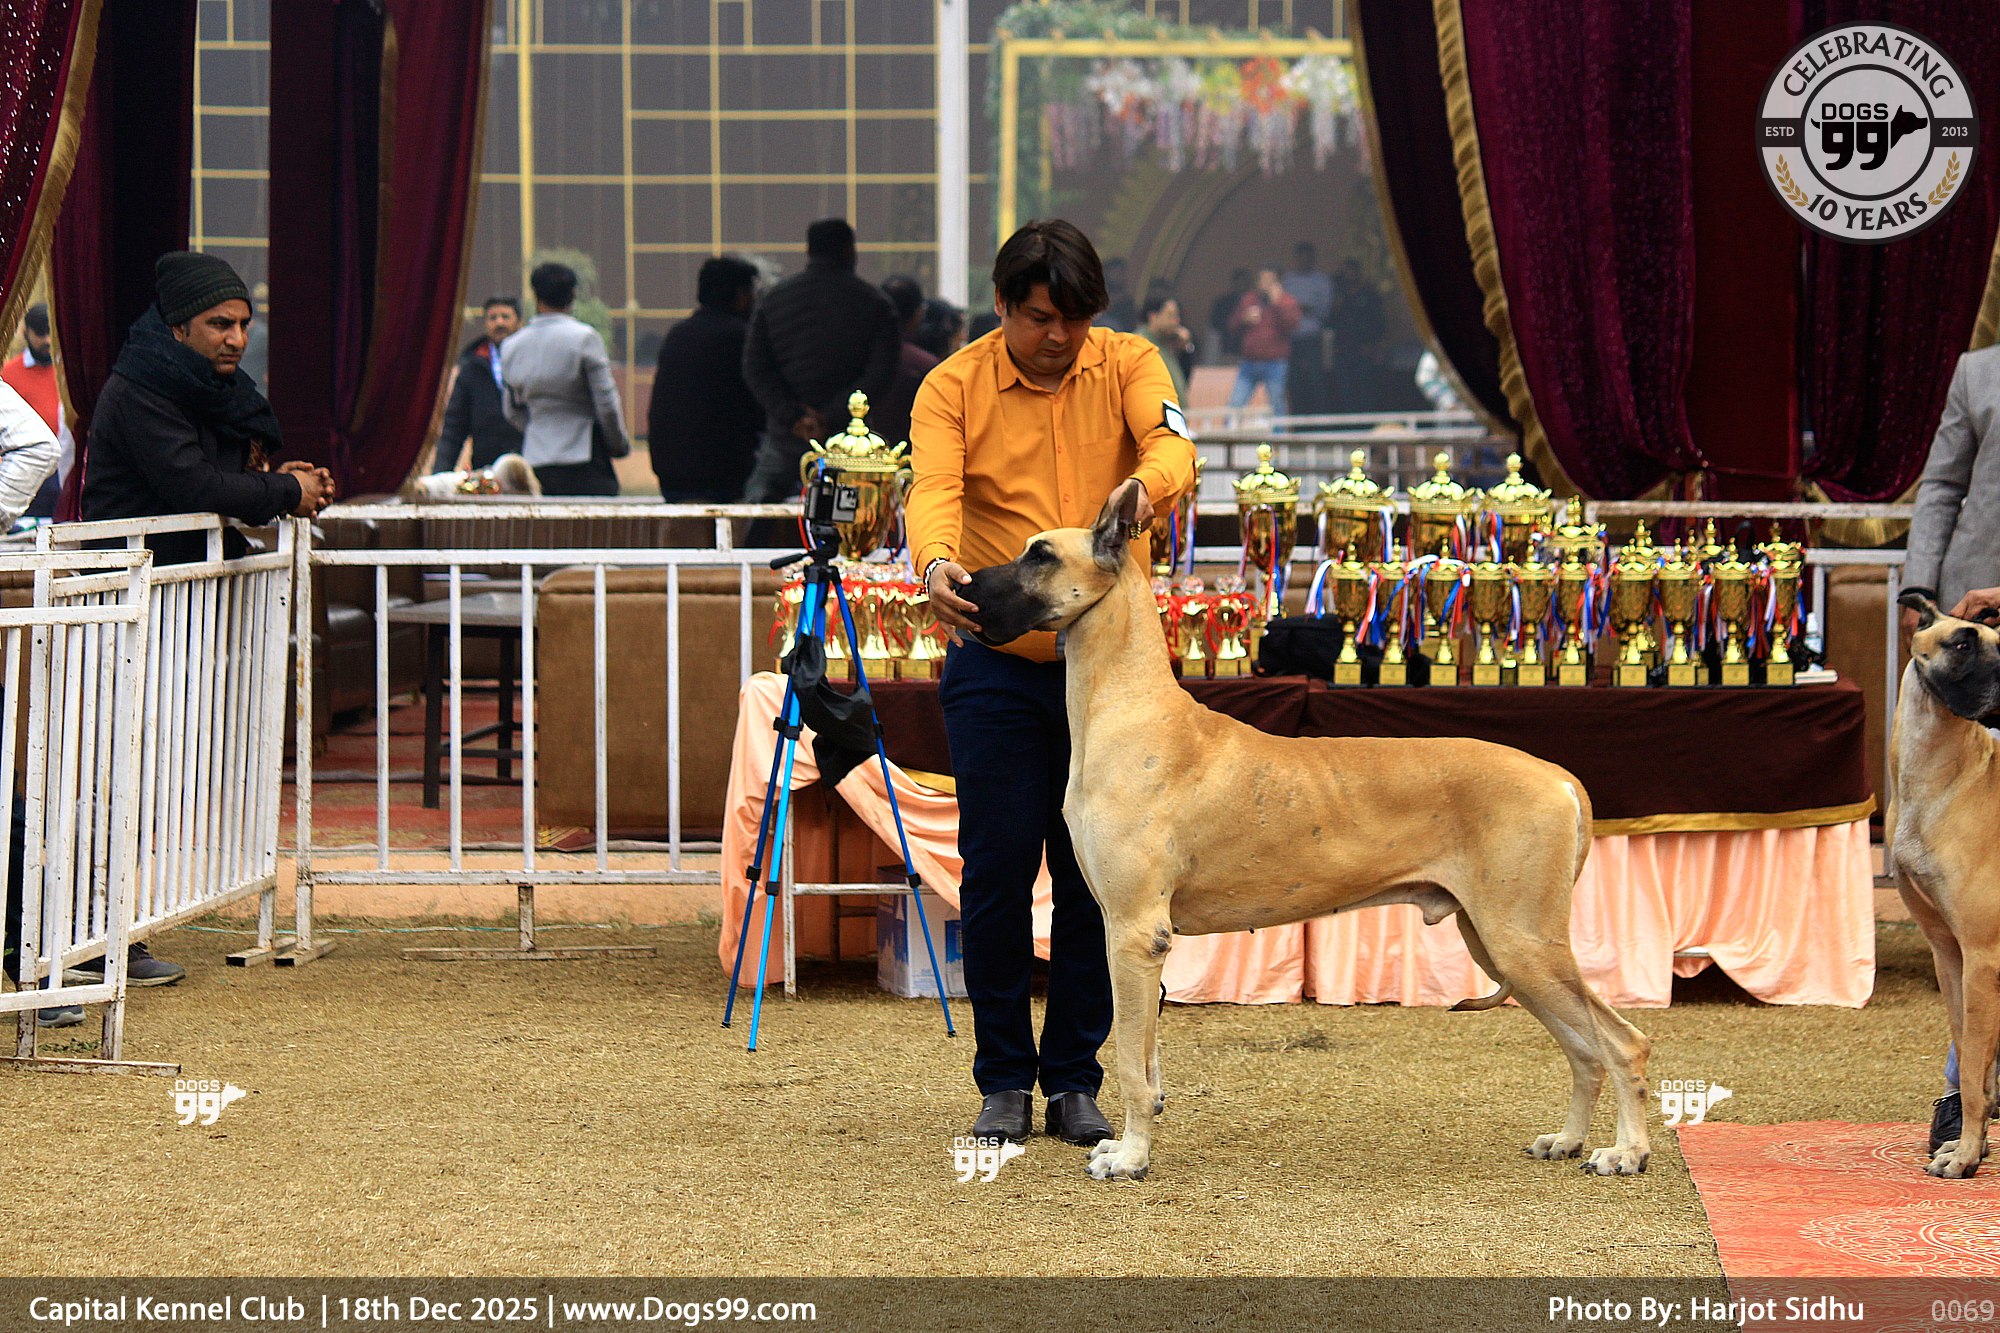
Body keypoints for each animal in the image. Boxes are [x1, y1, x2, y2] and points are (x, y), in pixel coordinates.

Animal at [962, 480, 1653, 1181]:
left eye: (1041, 555)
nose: (960, 583)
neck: (1130, 707)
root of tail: (1562, 779)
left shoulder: (1132, 933)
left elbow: (1130, 1060)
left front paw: (1129, 1157)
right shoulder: (1137, 936)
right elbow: (1148, 1064)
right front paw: (1134, 1138)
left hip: (1523, 939)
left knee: (1623, 1042)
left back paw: (1627, 1150)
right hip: (1497, 940)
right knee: (1585, 1048)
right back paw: (1567, 1140)